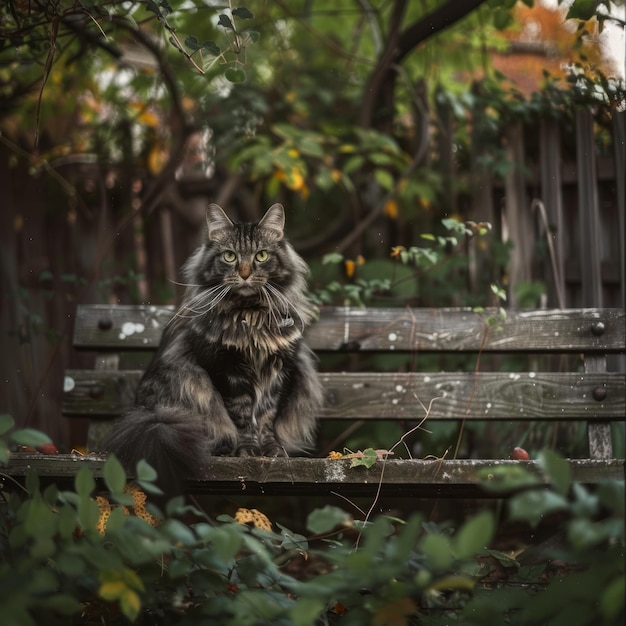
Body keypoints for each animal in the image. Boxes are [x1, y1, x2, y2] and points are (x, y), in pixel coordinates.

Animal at [103, 202, 322, 490]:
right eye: (229, 256)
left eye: (261, 256)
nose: (244, 274)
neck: (250, 316)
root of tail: (153, 415)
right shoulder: (225, 368)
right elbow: (242, 415)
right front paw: (248, 450)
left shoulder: (279, 369)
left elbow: (267, 416)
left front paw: (272, 450)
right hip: (187, 385)